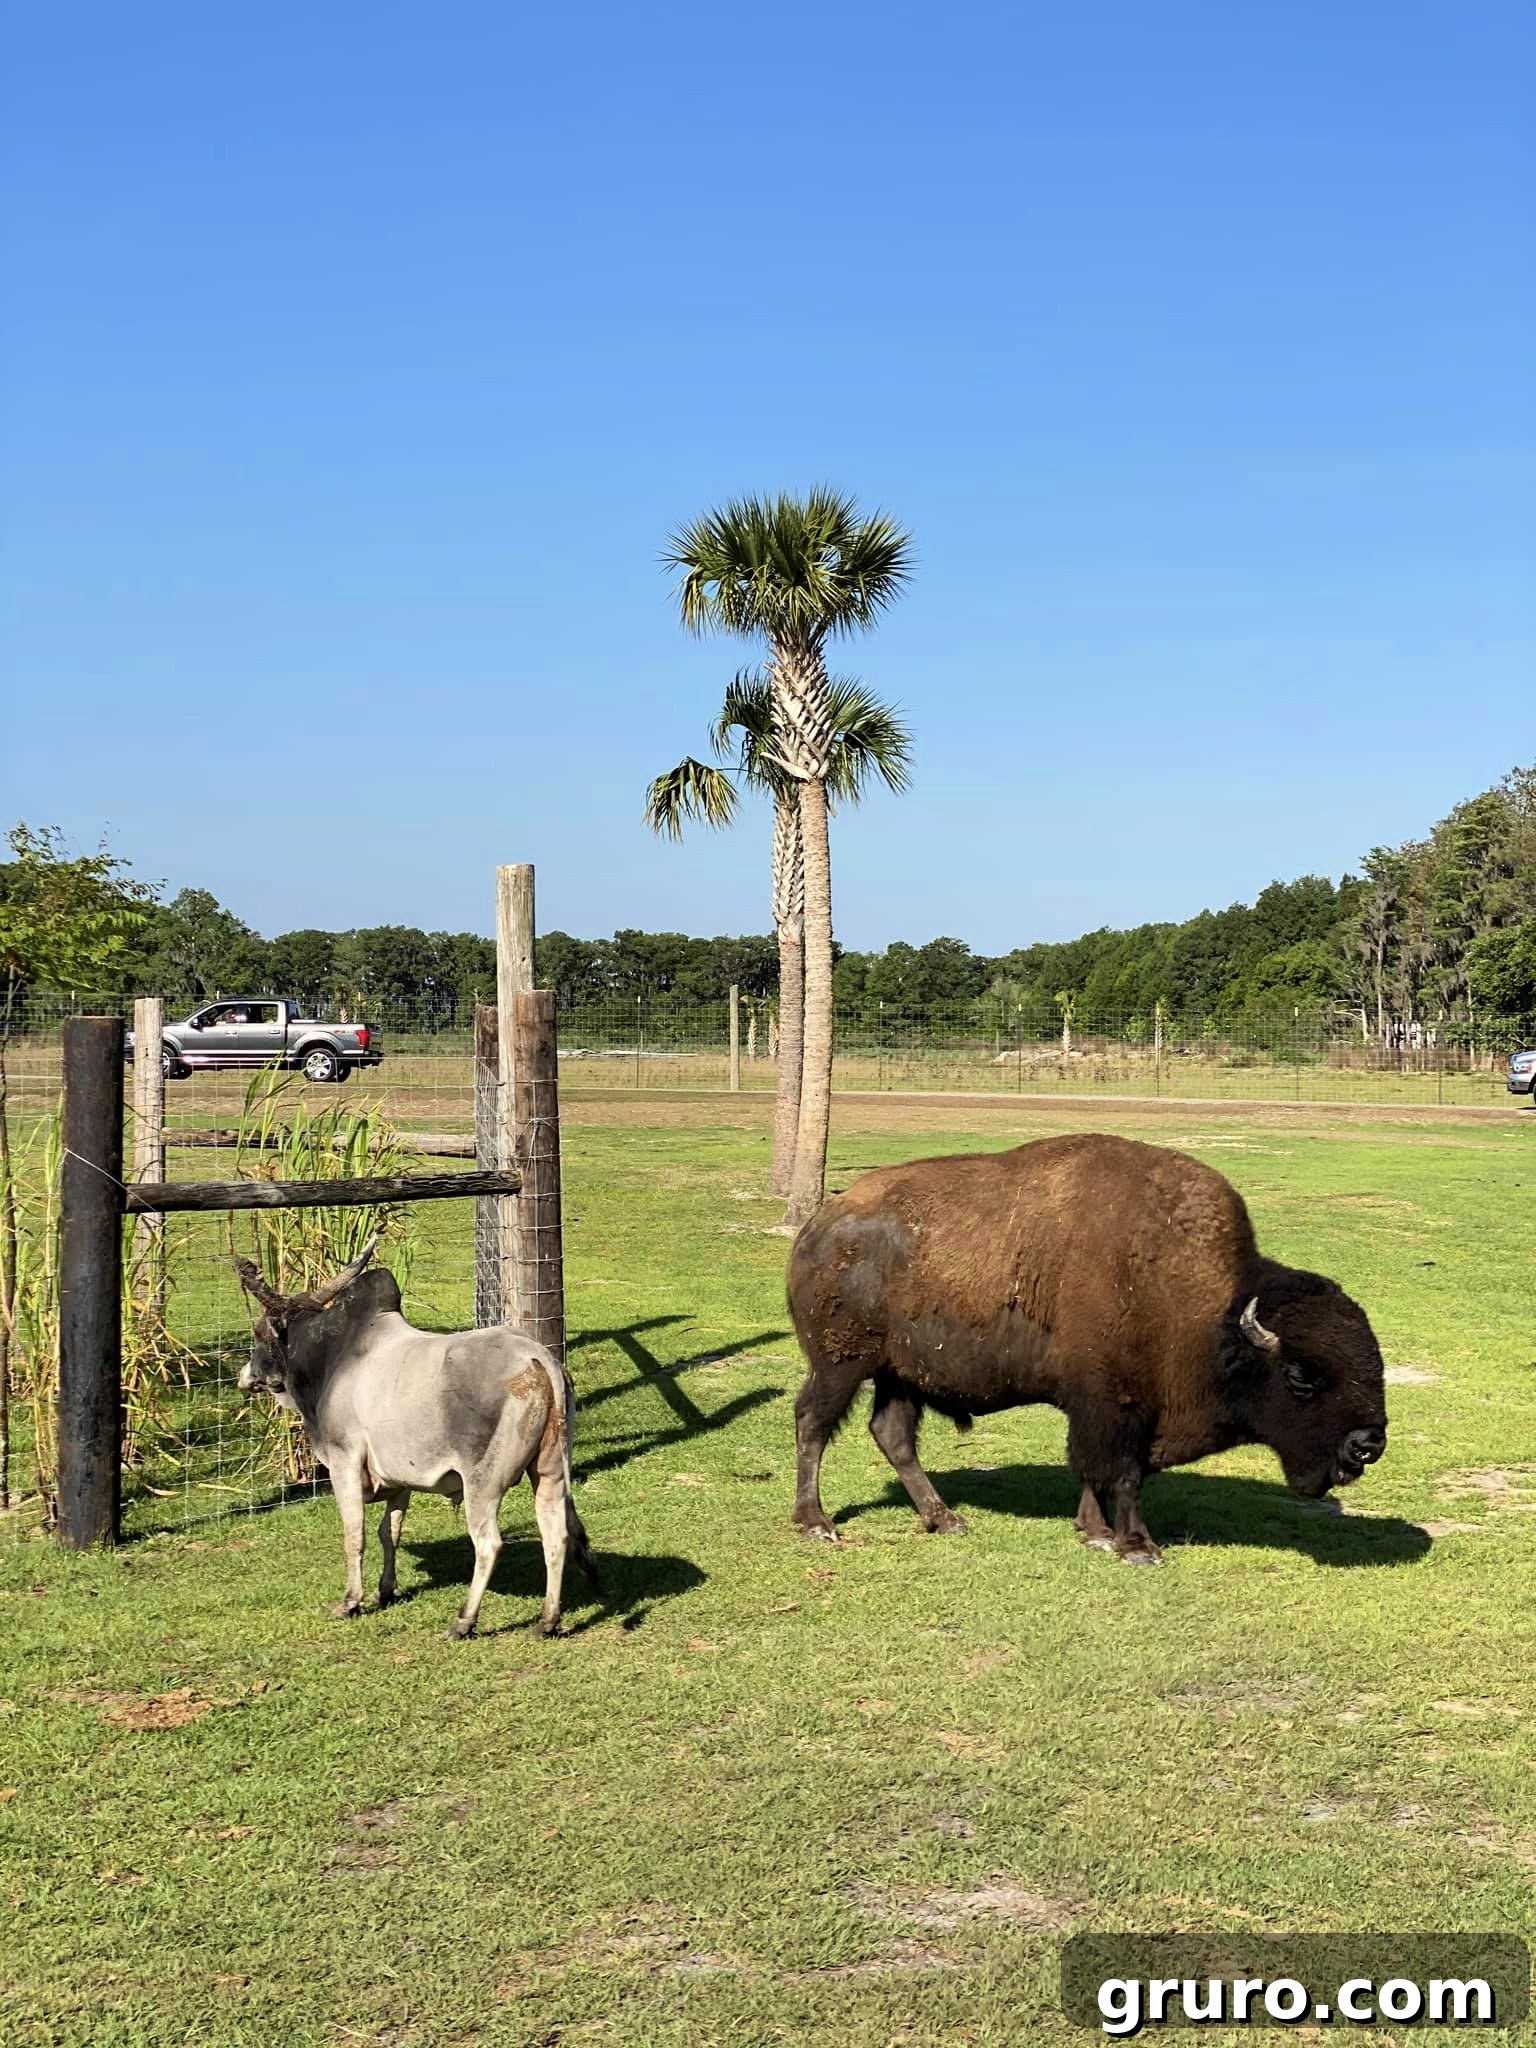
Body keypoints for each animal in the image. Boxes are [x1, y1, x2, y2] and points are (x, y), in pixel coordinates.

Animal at [787, 1133, 1389, 1561]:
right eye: (1301, 1377)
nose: (1368, 1445)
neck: (1207, 1307)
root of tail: (819, 1226)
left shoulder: (1111, 1410)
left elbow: (1095, 1471)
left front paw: (1094, 1533)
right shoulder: (1113, 1406)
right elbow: (1120, 1474)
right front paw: (1137, 1548)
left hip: (901, 1374)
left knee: (892, 1435)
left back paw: (945, 1519)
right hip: (840, 1364)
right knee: (813, 1423)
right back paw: (817, 1525)